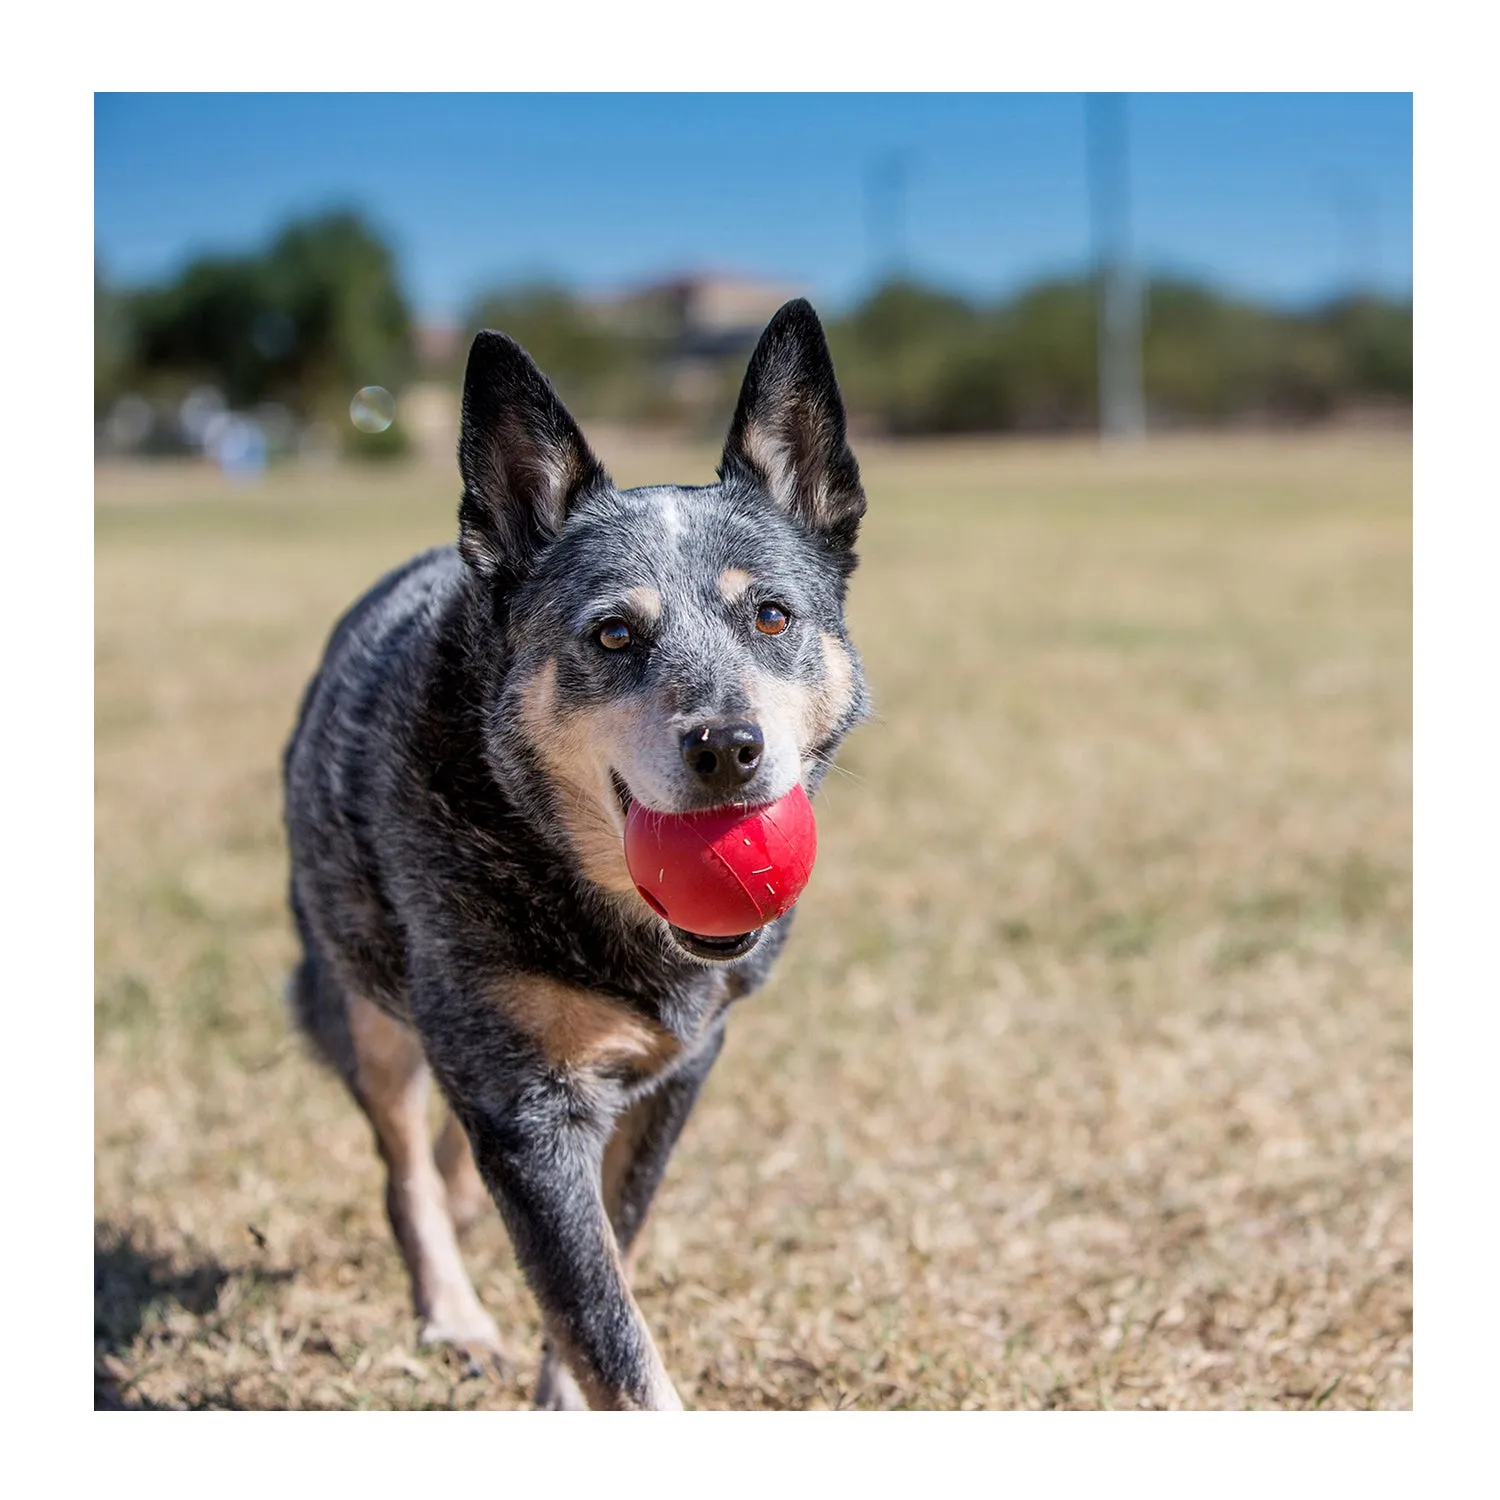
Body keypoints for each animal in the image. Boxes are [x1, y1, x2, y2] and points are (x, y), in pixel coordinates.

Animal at [283, 301, 870, 1404]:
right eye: (612, 635)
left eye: (772, 615)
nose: (727, 746)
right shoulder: (523, 1107)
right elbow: (604, 1321)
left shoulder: (680, 1070)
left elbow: (614, 1251)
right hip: (359, 996)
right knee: (403, 1166)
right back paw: (455, 1314)